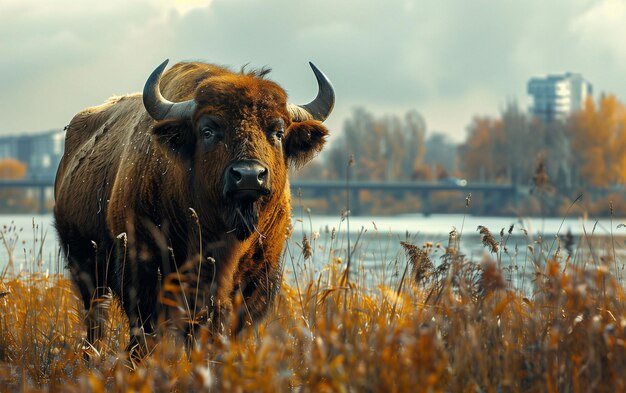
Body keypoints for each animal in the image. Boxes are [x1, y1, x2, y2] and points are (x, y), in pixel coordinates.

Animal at [54, 59, 332, 356]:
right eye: (208, 130)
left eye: (278, 132)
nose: (248, 175)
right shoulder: (143, 270)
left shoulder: (256, 280)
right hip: (85, 266)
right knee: (96, 317)